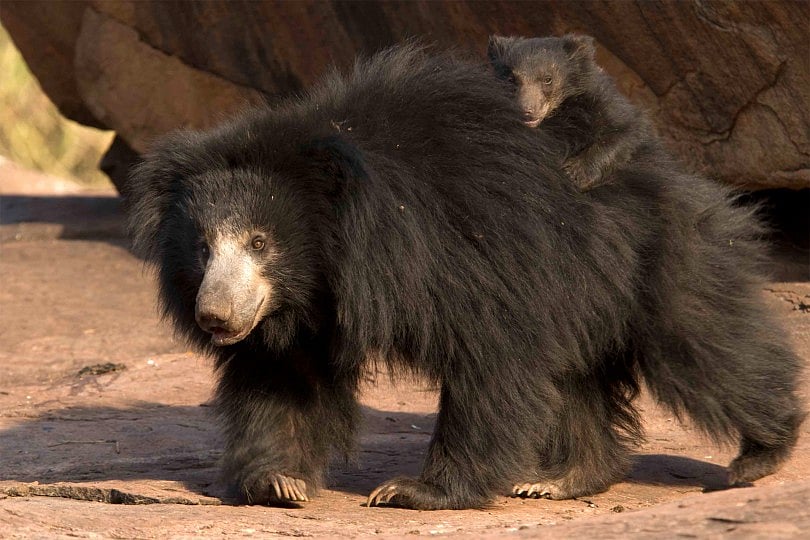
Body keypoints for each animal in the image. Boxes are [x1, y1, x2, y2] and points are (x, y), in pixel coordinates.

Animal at [488, 34, 655, 192]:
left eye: (548, 79)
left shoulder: (601, 101)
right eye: (511, 79)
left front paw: (573, 174)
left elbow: (626, 128)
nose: (527, 111)